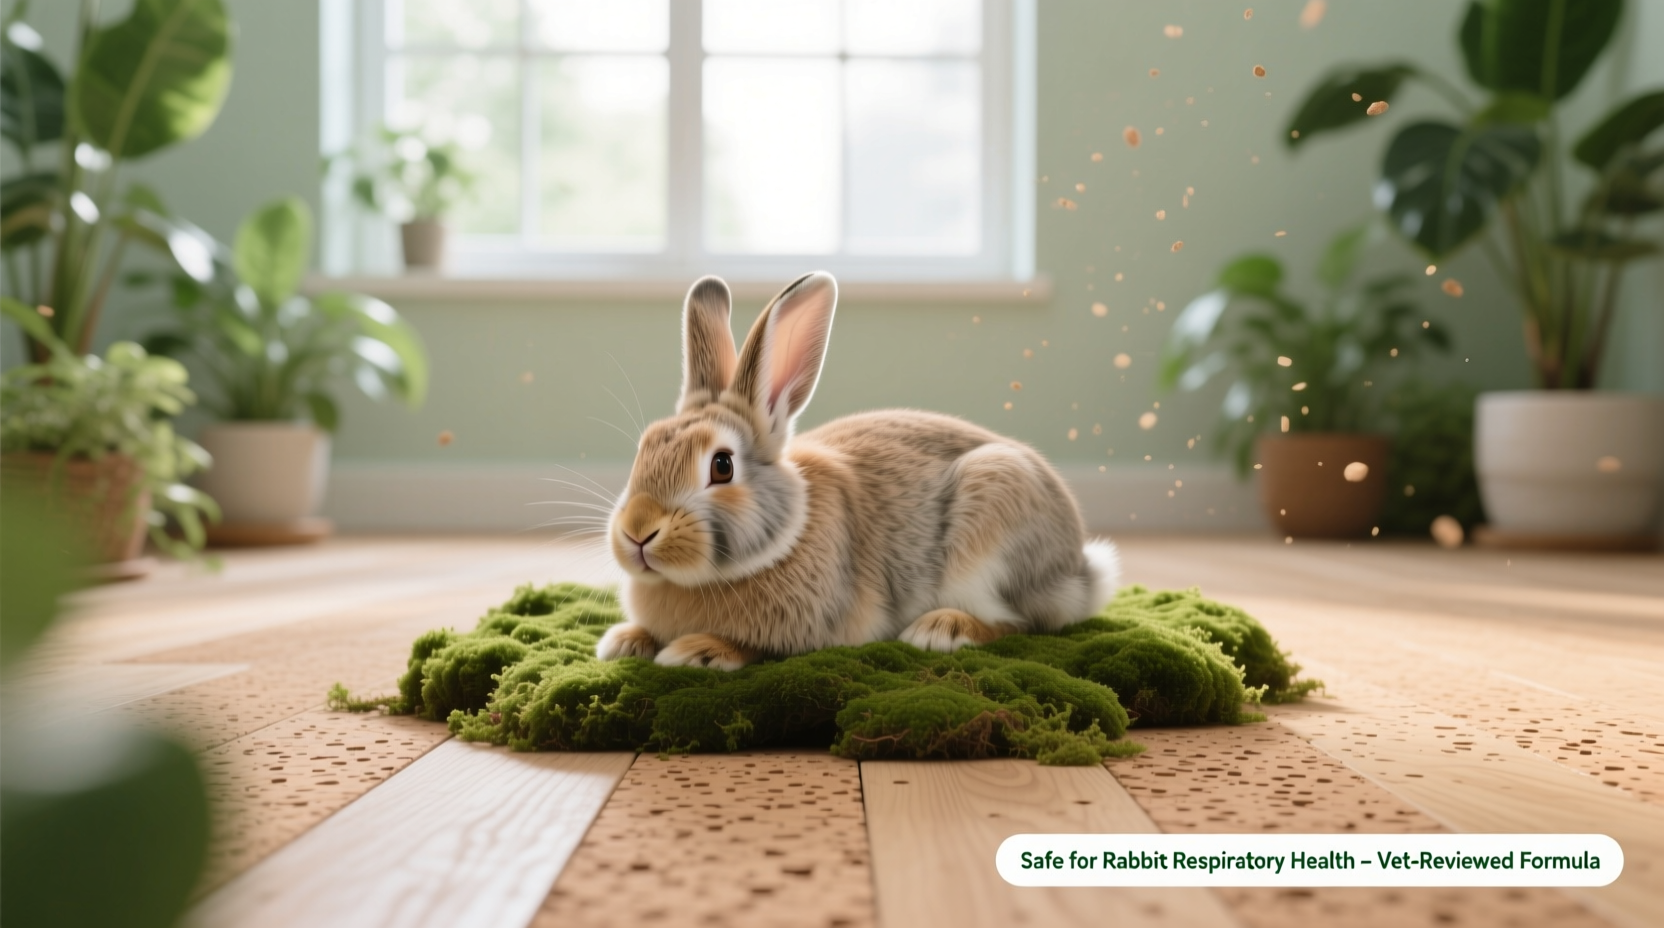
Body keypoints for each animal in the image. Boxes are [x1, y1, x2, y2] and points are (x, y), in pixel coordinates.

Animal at [596, 271, 1120, 670]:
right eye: (645, 447)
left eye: (721, 466)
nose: (638, 531)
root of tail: (1079, 571)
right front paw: (622, 641)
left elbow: (756, 647)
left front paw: (695, 651)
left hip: (993, 528)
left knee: (1018, 623)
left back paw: (940, 630)